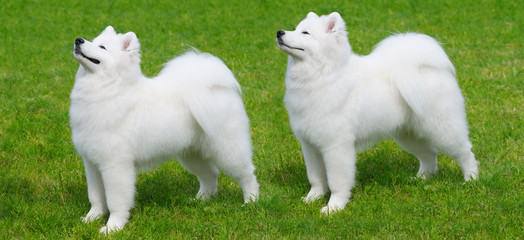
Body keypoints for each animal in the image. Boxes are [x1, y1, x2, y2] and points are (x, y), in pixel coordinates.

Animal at [70, 25, 258, 232]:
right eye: (92, 40)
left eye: (102, 47)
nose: (78, 40)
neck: (109, 90)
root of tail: (217, 87)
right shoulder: (92, 163)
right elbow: (95, 197)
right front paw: (91, 218)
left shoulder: (115, 166)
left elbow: (115, 201)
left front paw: (113, 227)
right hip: (191, 154)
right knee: (210, 174)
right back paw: (200, 200)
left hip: (227, 149)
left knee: (247, 174)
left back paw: (251, 202)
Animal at [278, 11, 478, 214]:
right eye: (295, 28)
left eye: (305, 33)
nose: (279, 32)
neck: (323, 75)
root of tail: (426, 67)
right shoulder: (310, 145)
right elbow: (316, 178)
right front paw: (312, 199)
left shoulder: (336, 146)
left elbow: (337, 182)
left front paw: (334, 207)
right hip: (408, 135)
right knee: (429, 154)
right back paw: (421, 179)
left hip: (443, 129)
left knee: (465, 152)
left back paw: (470, 180)